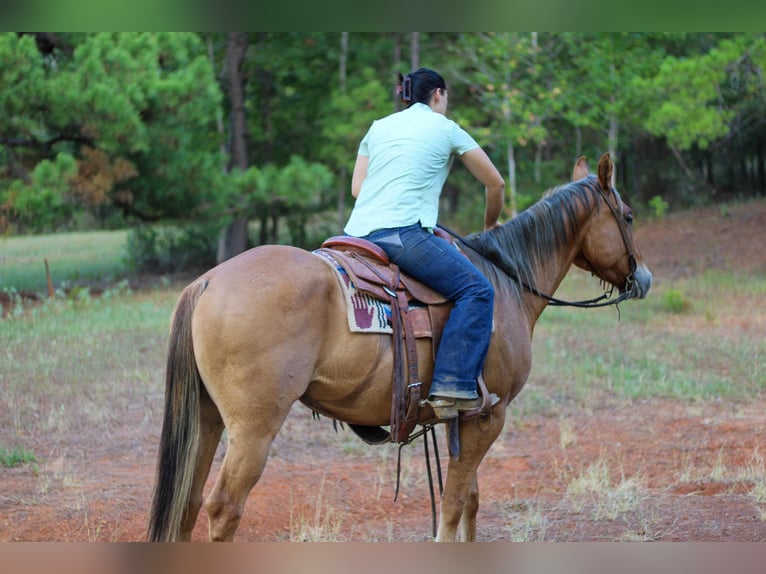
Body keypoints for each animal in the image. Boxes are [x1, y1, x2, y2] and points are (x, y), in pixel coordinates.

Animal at [148, 153, 656, 544]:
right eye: (628, 216)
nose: (645, 278)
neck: (504, 282)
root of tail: (208, 281)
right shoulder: (491, 415)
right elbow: (453, 506)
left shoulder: (465, 419)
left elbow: (470, 500)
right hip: (253, 428)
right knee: (222, 508)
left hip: (208, 417)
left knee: (188, 502)